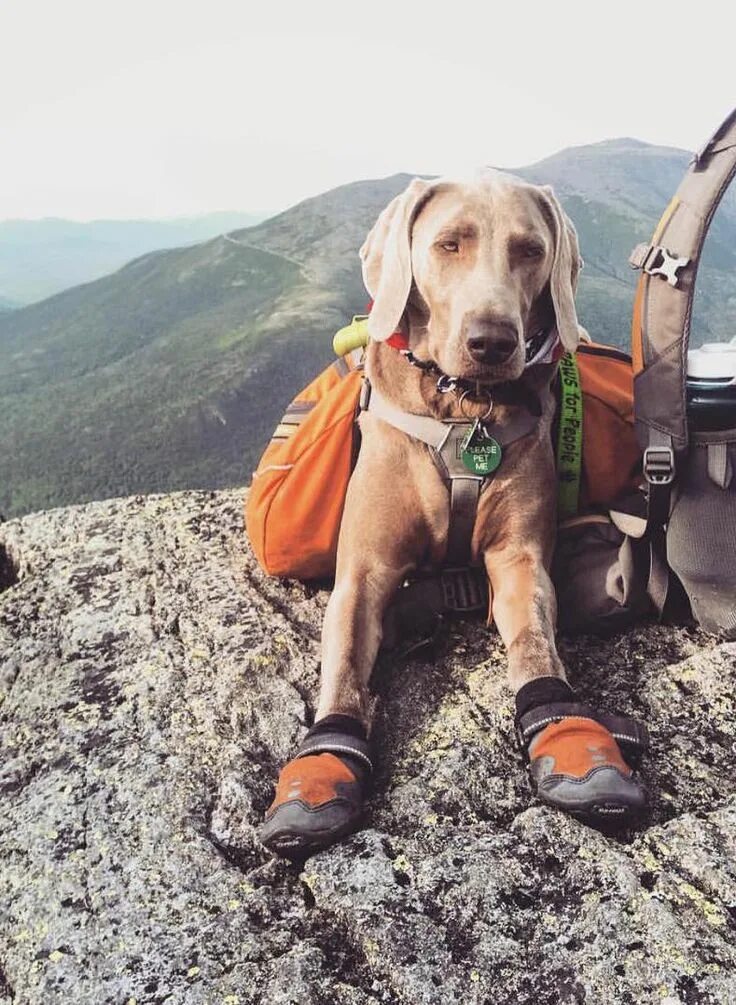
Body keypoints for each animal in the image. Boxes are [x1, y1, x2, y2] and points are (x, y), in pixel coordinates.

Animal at [259, 170, 643, 856]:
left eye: (530, 250)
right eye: (449, 244)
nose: (492, 343)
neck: (465, 409)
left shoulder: (519, 559)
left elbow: (534, 643)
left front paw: (567, 729)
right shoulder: (363, 571)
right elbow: (345, 664)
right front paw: (325, 755)